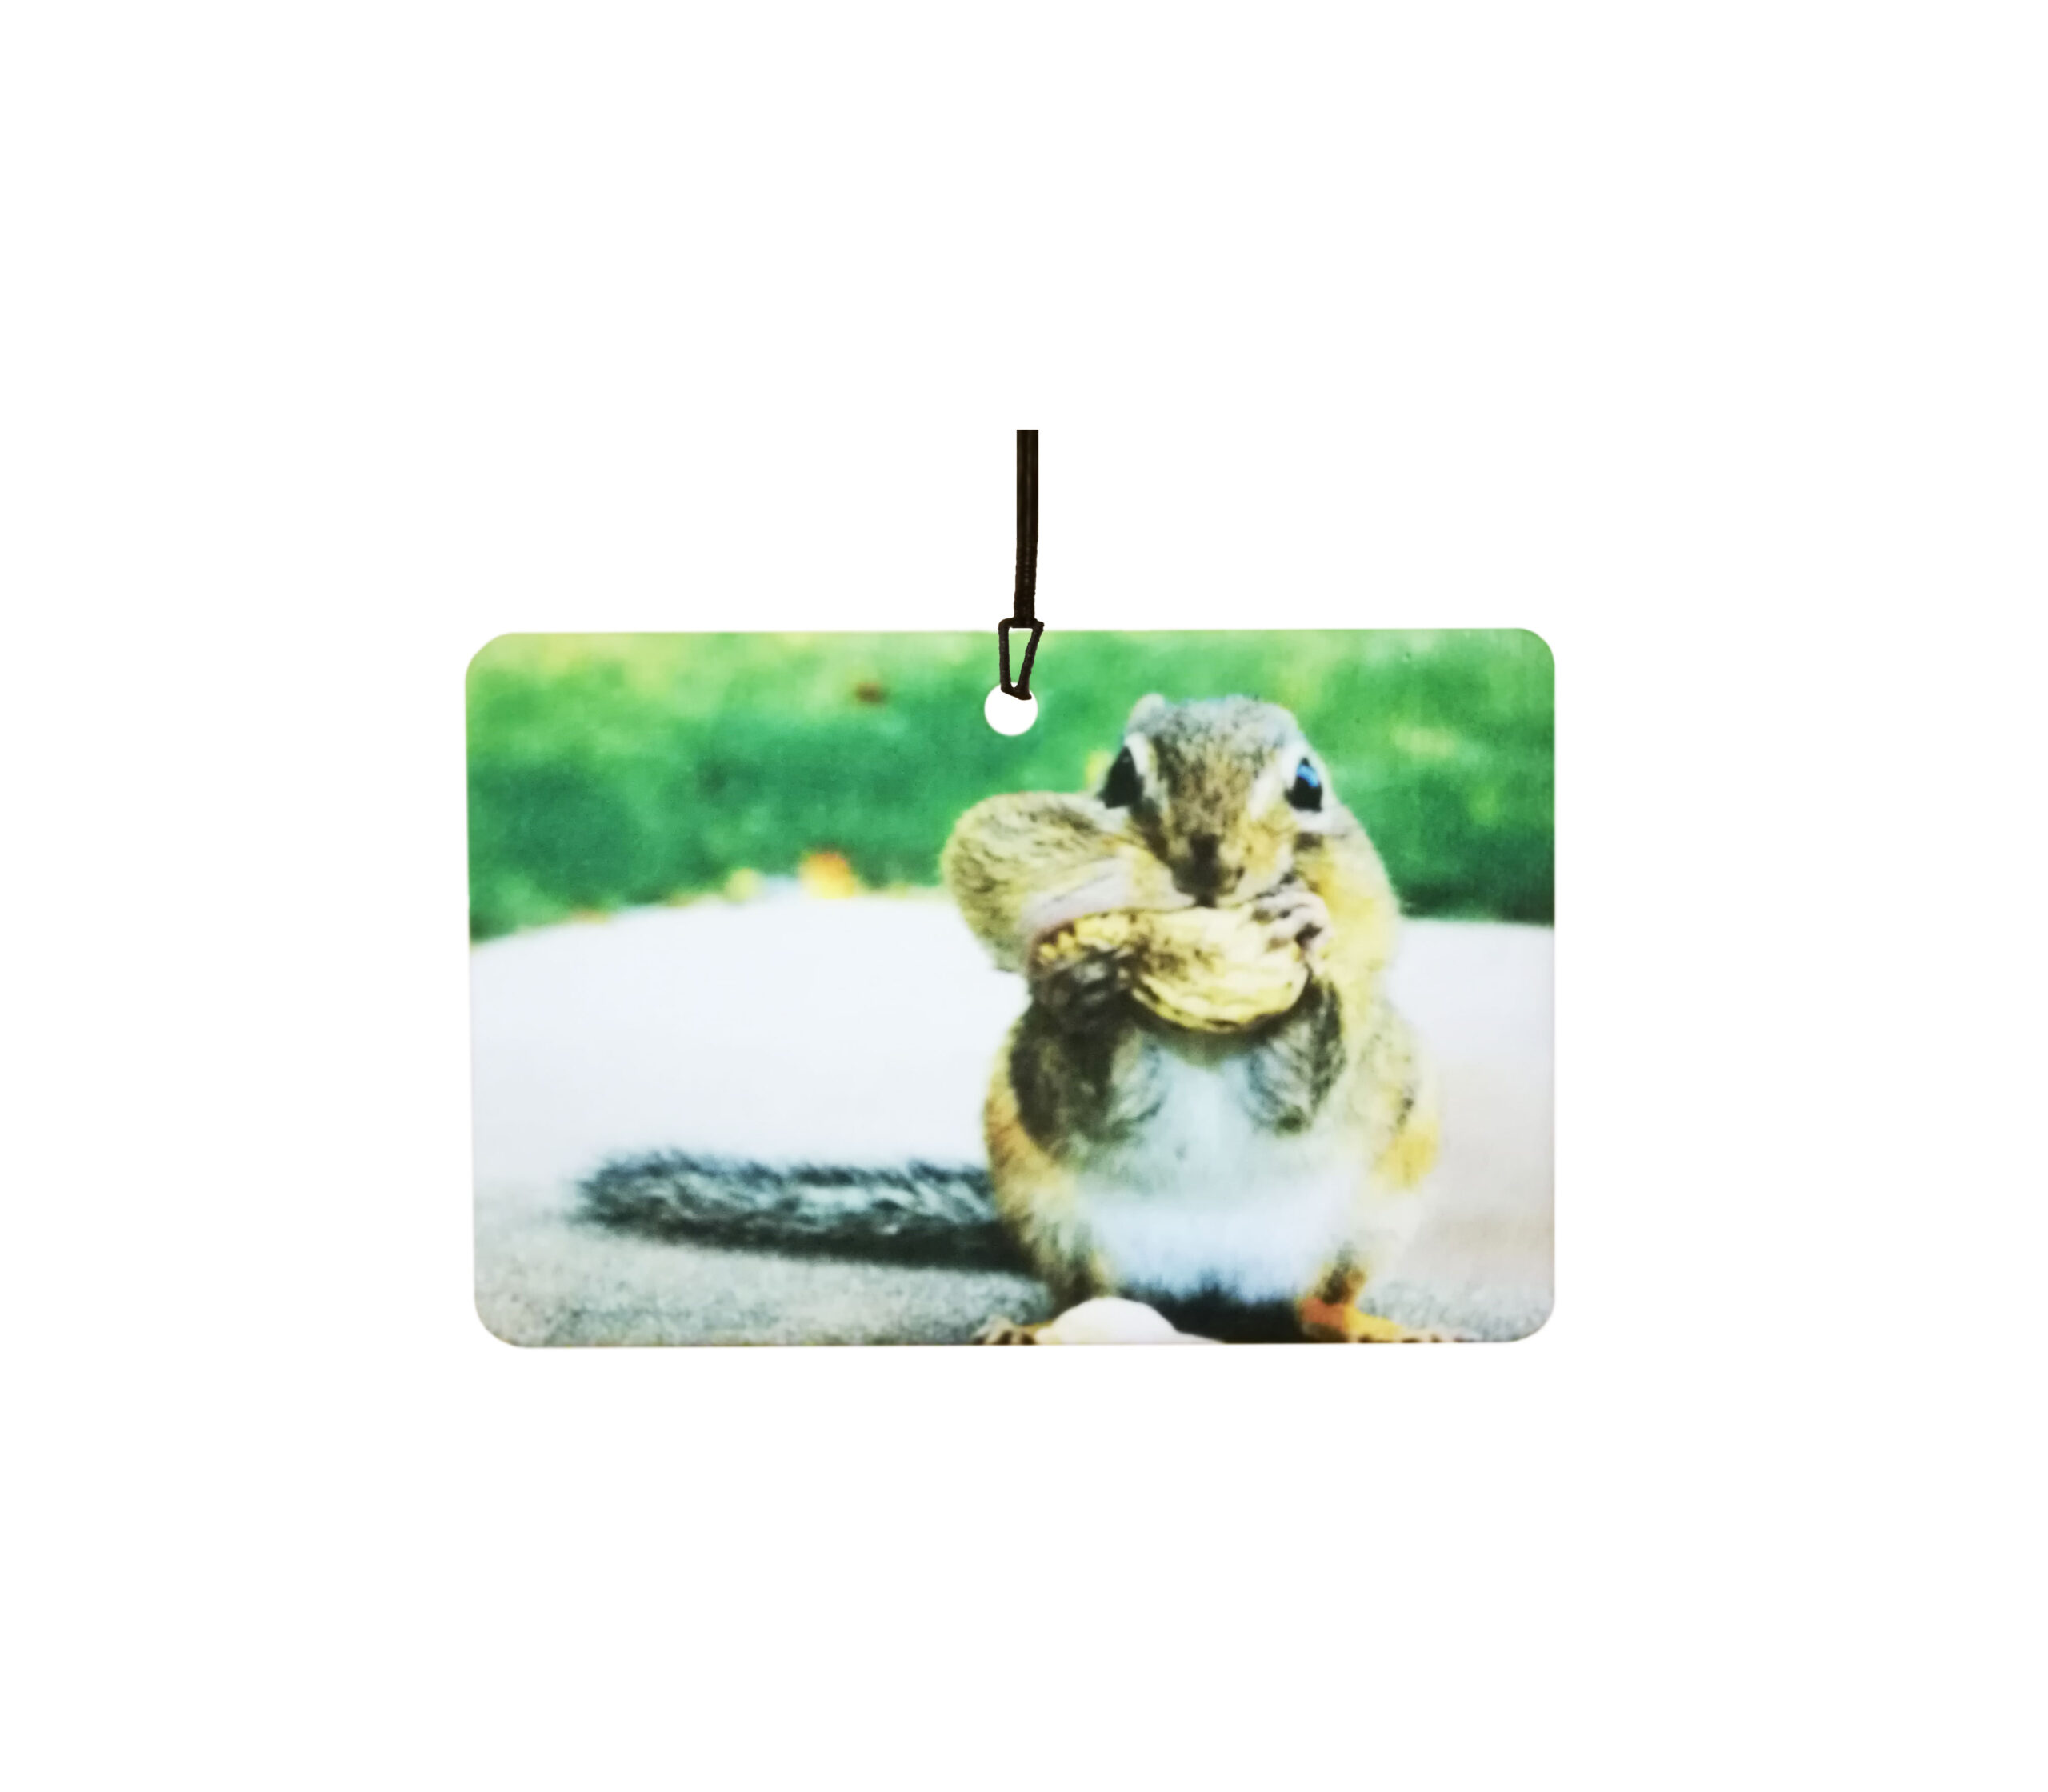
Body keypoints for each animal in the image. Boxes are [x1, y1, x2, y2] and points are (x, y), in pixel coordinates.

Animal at [942, 693, 1446, 1343]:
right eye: (1121, 776)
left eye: (1308, 784)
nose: (1209, 866)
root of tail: (1211, 1282)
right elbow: (1107, 1097)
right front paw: (1085, 987)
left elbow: (1303, 1090)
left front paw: (1308, 936)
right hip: (1050, 1218)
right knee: (1089, 1296)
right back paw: (1031, 1331)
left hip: (1375, 1215)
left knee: (1316, 1305)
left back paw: (1370, 1326)